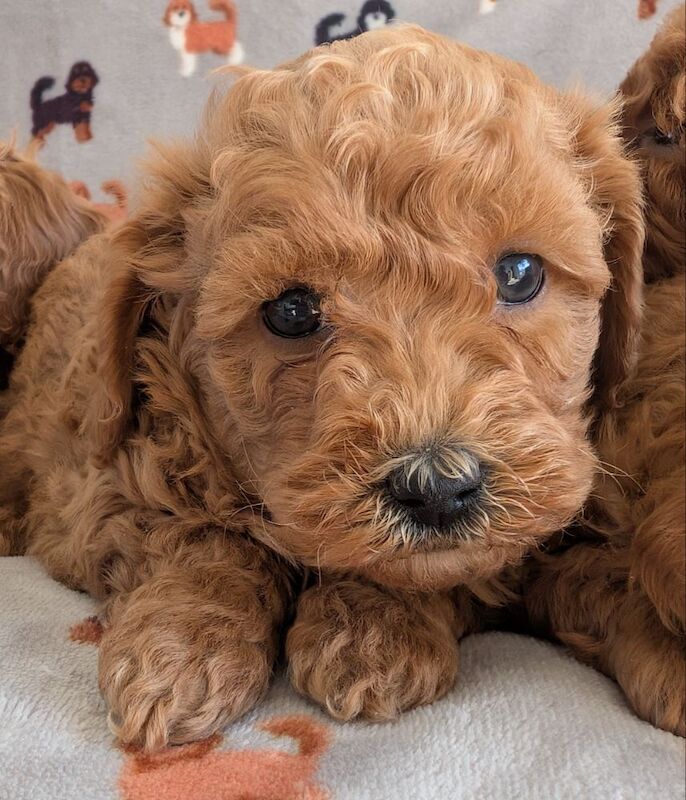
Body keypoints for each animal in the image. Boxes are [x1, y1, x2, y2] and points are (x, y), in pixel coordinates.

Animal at [0, 26, 648, 752]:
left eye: (520, 273)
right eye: (290, 312)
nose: (437, 487)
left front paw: (376, 630)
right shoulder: (104, 483)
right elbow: (198, 538)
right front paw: (179, 651)